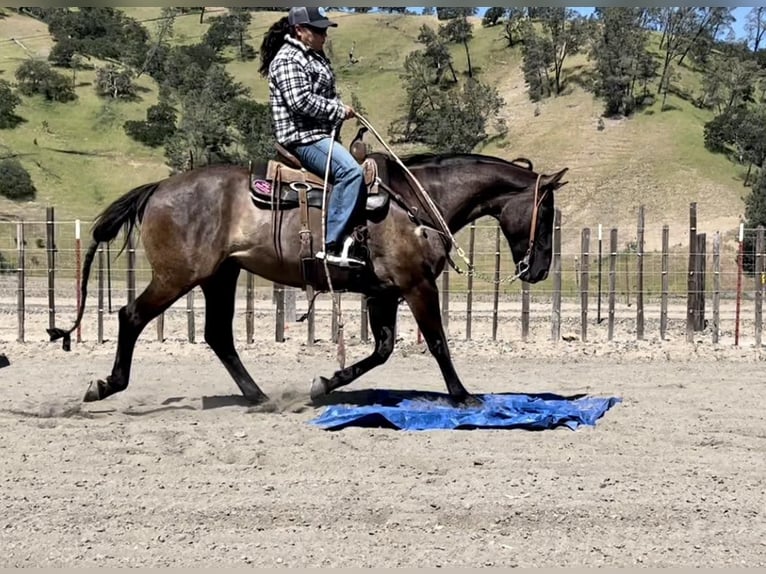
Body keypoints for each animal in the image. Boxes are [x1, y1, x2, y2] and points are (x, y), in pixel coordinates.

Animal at [46, 143, 564, 404]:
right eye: (548, 211)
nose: (539, 269)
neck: (416, 200)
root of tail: (158, 188)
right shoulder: (416, 286)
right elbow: (436, 342)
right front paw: (463, 395)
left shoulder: (383, 293)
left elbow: (381, 350)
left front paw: (325, 383)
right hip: (178, 276)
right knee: (131, 316)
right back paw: (106, 386)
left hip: (220, 277)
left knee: (218, 335)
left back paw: (258, 395)